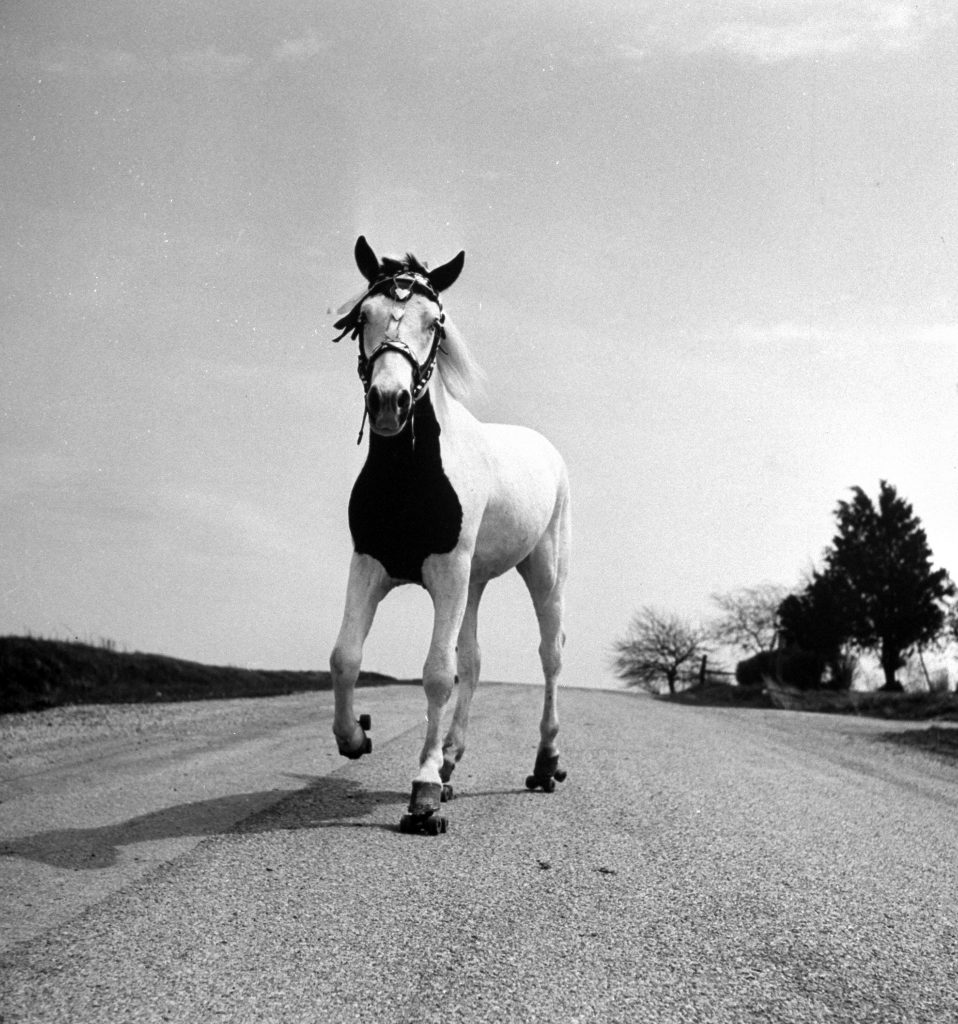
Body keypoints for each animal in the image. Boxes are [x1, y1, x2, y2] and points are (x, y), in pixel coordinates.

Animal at [329, 235, 569, 835]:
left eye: (434, 321)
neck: (411, 478)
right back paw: (452, 761)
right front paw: (355, 736)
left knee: (550, 655)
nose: (388, 402)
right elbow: (345, 656)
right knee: (475, 660)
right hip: (474, 583)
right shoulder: (370, 565)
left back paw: (545, 764)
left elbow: (438, 673)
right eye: (362, 317)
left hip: (544, 573)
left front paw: (422, 795)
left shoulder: (446, 572)